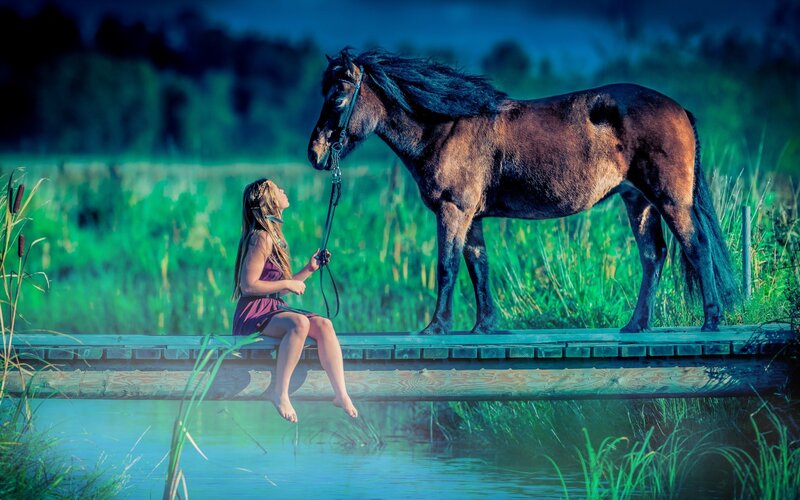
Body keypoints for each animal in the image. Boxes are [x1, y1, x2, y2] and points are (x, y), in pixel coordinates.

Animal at [307, 48, 737, 335]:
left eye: (338, 97)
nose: (315, 153)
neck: (445, 127)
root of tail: (680, 110)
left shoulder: (453, 210)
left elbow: (447, 267)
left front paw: (436, 327)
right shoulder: (471, 216)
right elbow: (478, 266)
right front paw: (485, 326)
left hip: (669, 199)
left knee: (697, 246)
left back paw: (711, 320)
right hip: (639, 201)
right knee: (654, 256)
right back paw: (635, 325)